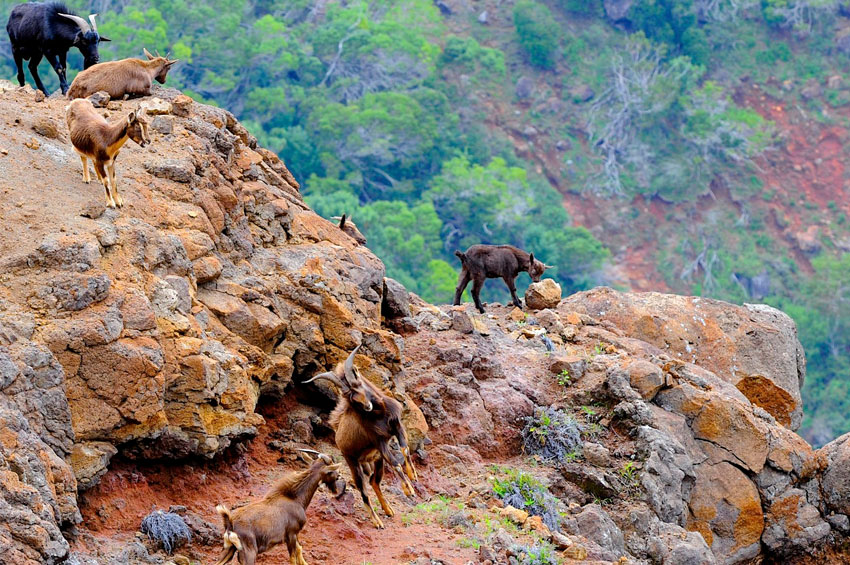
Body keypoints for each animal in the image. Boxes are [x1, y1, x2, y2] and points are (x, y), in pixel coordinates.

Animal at [214, 452, 342, 564]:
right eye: (332, 471)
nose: (338, 477)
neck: (294, 498)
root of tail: (230, 524)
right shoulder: (291, 534)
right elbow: (293, 558)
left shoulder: (295, 535)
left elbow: (299, 550)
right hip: (249, 553)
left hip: (228, 550)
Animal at [304, 344, 418, 528]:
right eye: (351, 396)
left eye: (358, 385)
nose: (367, 406)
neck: (380, 415)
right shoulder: (379, 441)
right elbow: (395, 463)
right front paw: (409, 491)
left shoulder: (396, 427)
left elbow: (404, 449)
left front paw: (413, 475)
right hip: (353, 462)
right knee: (363, 489)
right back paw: (377, 522)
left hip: (376, 460)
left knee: (374, 481)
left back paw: (388, 510)